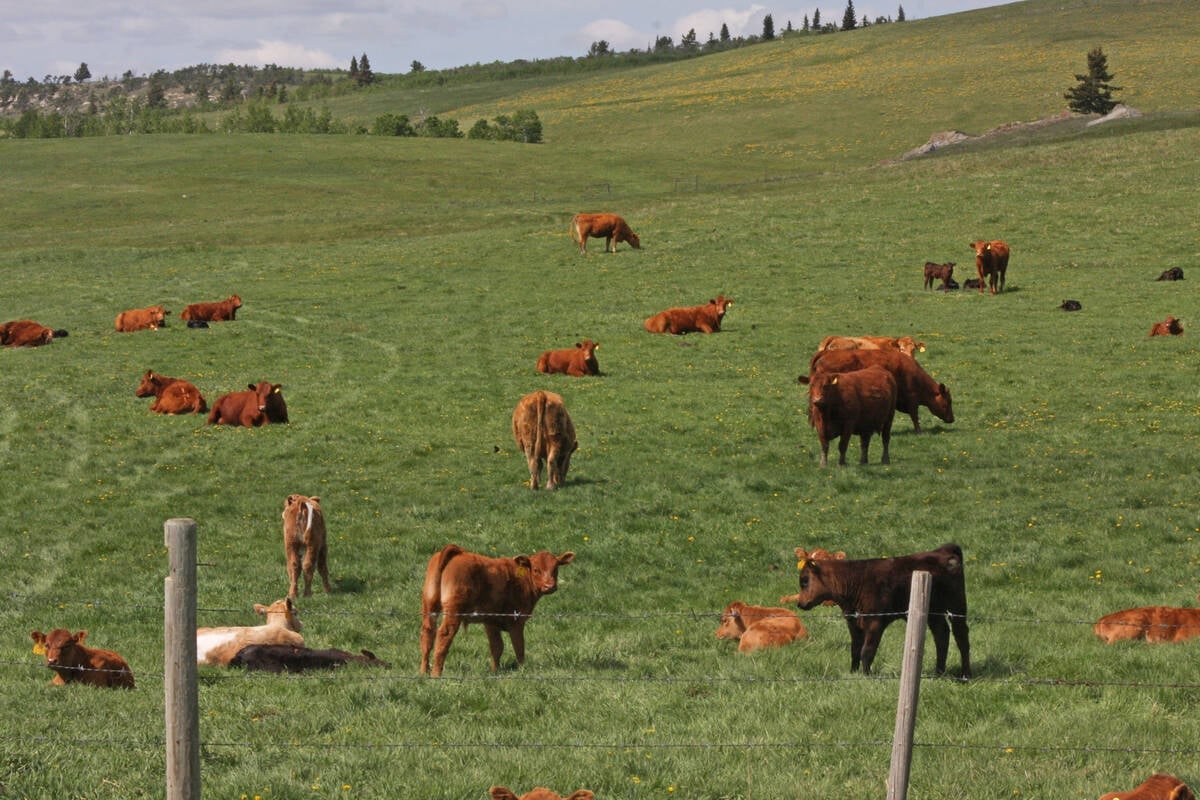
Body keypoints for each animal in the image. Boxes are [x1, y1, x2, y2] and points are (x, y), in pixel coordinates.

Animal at [420, 543, 575, 677]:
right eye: (536, 569)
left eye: (555, 568)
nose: (550, 586)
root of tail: (459, 552)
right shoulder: (516, 621)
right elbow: (519, 646)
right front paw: (522, 670)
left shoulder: (491, 621)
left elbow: (496, 647)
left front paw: (495, 671)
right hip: (453, 610)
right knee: (444, 634)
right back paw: (436, 673)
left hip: (430, 604)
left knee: (427, 633)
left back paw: (424, 671)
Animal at [791, 543, 972, 679]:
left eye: (805, 580)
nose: (800, 604)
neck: (855, 581)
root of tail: (943, 550)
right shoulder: (853, 622)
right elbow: (855, 649)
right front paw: (853, 672)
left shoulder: (875, 621)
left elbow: (867, 650)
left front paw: (867, 675)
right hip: (934, 612)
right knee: (942, 635)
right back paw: (938, 672)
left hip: (957, 605)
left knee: (961, 636)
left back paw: (965, 674)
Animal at [806, 348, 953, 433]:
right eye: (948, 401)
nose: (952, 419)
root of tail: (825, 352)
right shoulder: (912, 399)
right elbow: (914, 416)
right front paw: (919, 431)